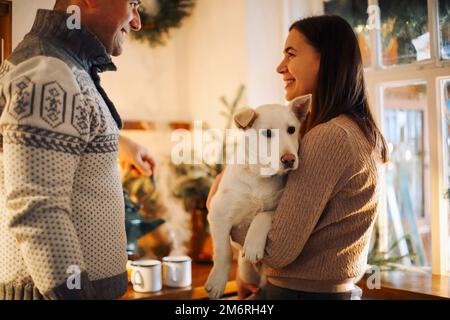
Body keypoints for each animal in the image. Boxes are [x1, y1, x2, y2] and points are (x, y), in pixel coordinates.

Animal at [206, 94, 312, 298]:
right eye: (268, 133)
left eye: (291, 129)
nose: (289, 160)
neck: (260, 176)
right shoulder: (218, 213)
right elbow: (223, 252)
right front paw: (217, 282)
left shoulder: (278, 207)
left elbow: (263, 215)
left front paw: (253, 245)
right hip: (246, 271)